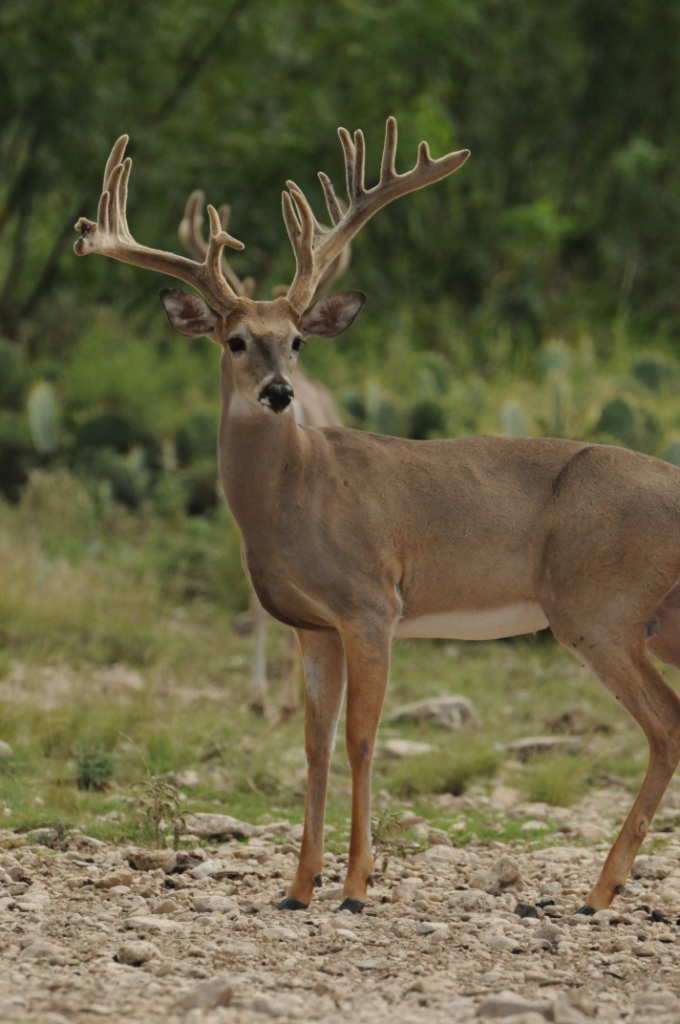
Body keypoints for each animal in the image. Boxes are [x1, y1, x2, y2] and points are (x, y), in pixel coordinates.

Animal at [74, 116, 680, 917]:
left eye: (297, 340)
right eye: (236, 339)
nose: (278, 392)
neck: (297, 496)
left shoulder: (371, 604)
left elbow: (362, 739)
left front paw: (357, 885)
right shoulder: (313, 625)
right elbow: (315, 744)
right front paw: (298, 886)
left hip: (601, 606)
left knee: (666, 723)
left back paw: (600, 889)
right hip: (652, 619)